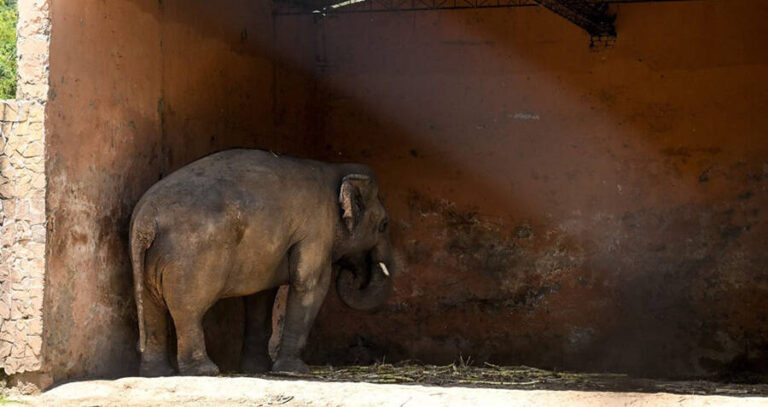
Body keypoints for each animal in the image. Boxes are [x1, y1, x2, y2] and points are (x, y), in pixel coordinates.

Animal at [129, 148, 394, 376]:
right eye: (384, 225)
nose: (352, 273)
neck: (336, 171)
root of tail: (146, 220)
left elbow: (261, 296)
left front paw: (257, 369)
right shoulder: (316, 231)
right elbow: (310, 284)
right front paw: (293, 371)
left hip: (148, 260)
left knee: (152, 308)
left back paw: (157, 374)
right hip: (190, 259)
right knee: (188, 308)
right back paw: (204, 371)